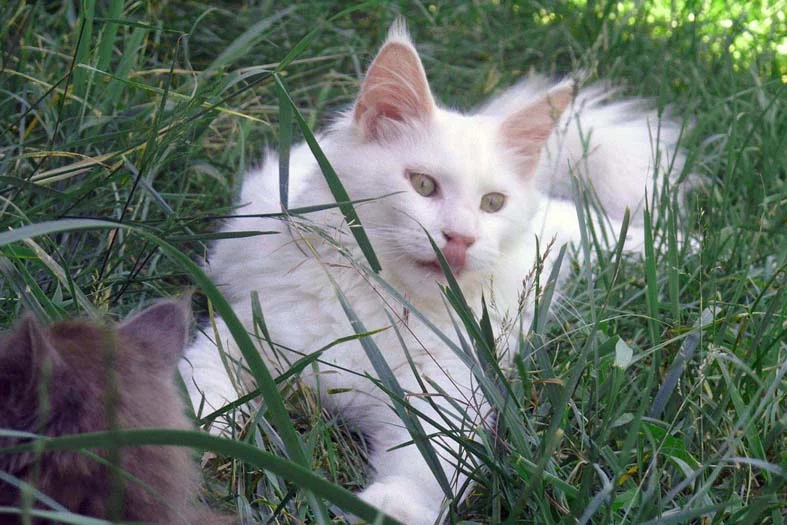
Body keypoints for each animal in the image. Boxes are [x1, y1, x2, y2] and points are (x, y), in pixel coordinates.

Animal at [179, 19, 688, 525]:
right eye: (422, 185)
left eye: (492, 203)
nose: (460, 238)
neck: (384, 305)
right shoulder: (240, 334)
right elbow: (203, 390)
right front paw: (193, 440)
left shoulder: (444, 400)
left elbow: (424, 469)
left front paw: (389, 510)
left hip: (563, 240)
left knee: (599, 226)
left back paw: (681, 242)